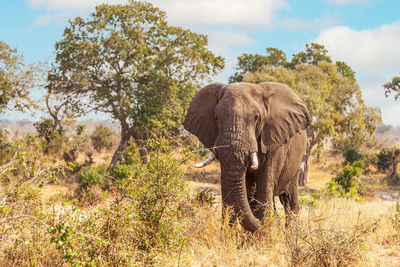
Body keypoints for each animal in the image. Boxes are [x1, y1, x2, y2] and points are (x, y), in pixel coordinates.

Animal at [183, 81, 310, 232]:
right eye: (216, 118)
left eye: (256, 118)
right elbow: (229, 190)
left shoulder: (274, 141)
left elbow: (263, 190)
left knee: (289, 201)